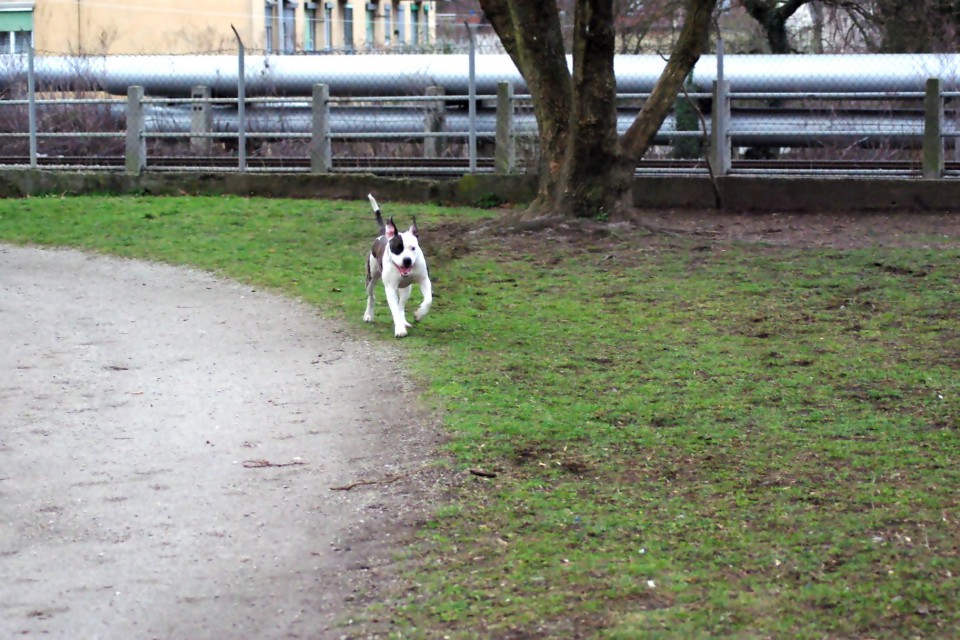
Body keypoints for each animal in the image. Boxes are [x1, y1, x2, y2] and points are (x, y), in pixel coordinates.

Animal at [362, 192, 434, 338]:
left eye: (413, 248)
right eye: (397, 248)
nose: (407, 260)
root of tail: (383, 234)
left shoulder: (424, 280)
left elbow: (428, 300)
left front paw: (419, 314)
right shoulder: (390, 288)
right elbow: (394, 309)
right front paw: (399, 329)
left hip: (406, 288)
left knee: (401, 305)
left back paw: (404, 321)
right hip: (371, 279)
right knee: (371, 296)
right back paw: (368, 315)